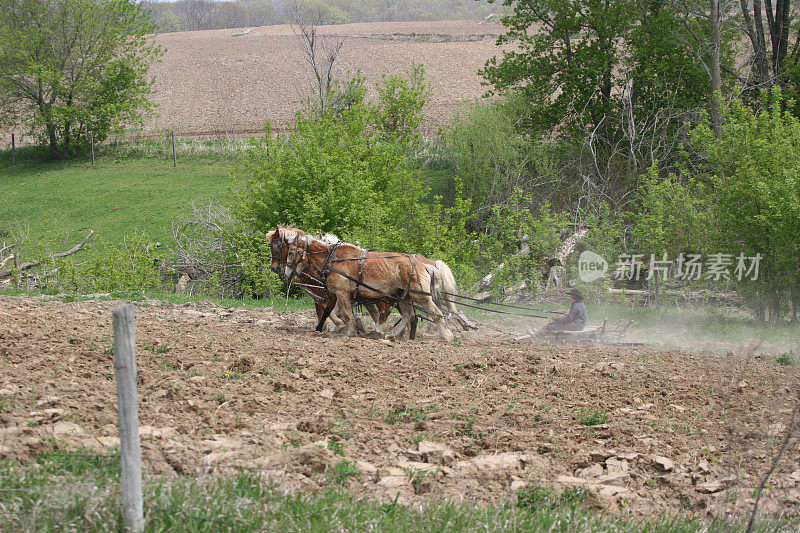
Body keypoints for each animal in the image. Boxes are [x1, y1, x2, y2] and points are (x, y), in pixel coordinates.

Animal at [272, 224, 454, 340]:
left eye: (290, 252)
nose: (286, 272)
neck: (332, 259)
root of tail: (424, 264)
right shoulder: (337, 295)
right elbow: (335, 312)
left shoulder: (342, 293)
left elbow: (346, 314)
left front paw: (348, 332)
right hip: (404, 296)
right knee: (409, 315)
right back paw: (393, 334)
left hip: (420, 295)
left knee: (436, 313)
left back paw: (447, 336)